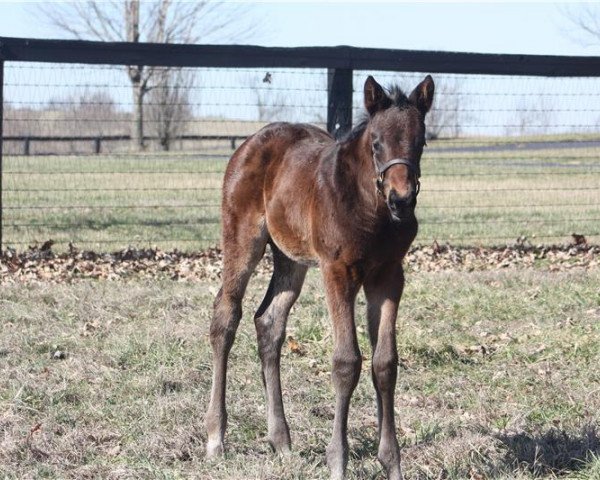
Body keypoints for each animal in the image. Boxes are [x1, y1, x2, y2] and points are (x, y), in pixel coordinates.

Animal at [204, 75, 434, 480]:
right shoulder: (337, 271)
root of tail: (251, 142)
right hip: (243, 240)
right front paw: (338, 461)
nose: (401, 200)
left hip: (290, 259)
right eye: (376, 141)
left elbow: (384, 363)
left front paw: (391, 462)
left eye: (421, 141)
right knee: (226, 317)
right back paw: (216, 438)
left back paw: (281, 440)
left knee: (269, 322)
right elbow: (346, 362)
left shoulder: (389, 275)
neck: (371, 210)